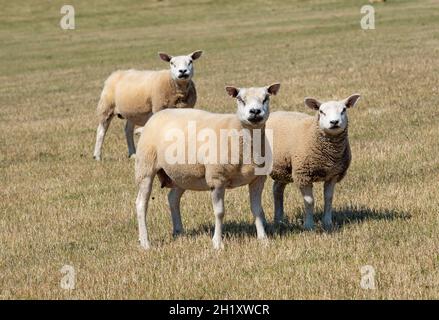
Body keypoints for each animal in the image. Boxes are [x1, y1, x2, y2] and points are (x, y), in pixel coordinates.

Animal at [134, 82, 282, 250]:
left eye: (266, 98)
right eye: (240, 99)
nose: (255, 112)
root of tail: (156, 116)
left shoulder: (258, 179)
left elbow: (257, 210)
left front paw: (263, 239)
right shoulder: (216, 178)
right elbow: (219, 212)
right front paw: (217, 243)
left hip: (182, 174)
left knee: (172, 198)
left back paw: (179, 232)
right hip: (145, 167)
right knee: (141, 204)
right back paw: (145, 242)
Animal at [266, 94, 362, 231]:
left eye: (344, 110)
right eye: (321, 111)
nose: (334, 122)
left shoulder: (333, 175)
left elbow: (328, 198)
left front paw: (327, 223)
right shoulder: (303, 174)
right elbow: (310, 201)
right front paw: (309, 225)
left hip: (283, 168)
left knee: (277, 189)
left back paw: (279, 220)